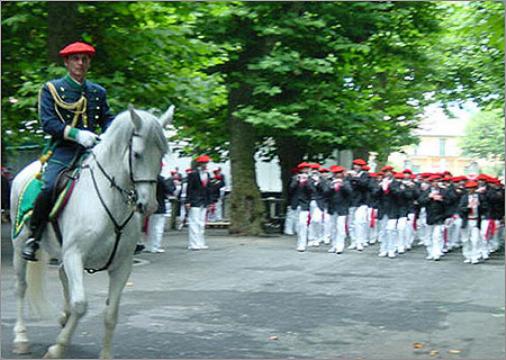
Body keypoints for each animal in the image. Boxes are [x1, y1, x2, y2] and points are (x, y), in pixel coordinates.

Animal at [9, 104, 175, 358]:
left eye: (162, 155)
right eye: (136, 154)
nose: (149, 206)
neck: (111, 201)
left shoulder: (121, 265)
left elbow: (111, 314)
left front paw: (105, 354)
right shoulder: (74, 254)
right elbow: (81, 305)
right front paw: (58, 347)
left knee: (61, 275)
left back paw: (63, 317)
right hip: (20, 246)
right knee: (21, 286)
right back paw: (21, 337)